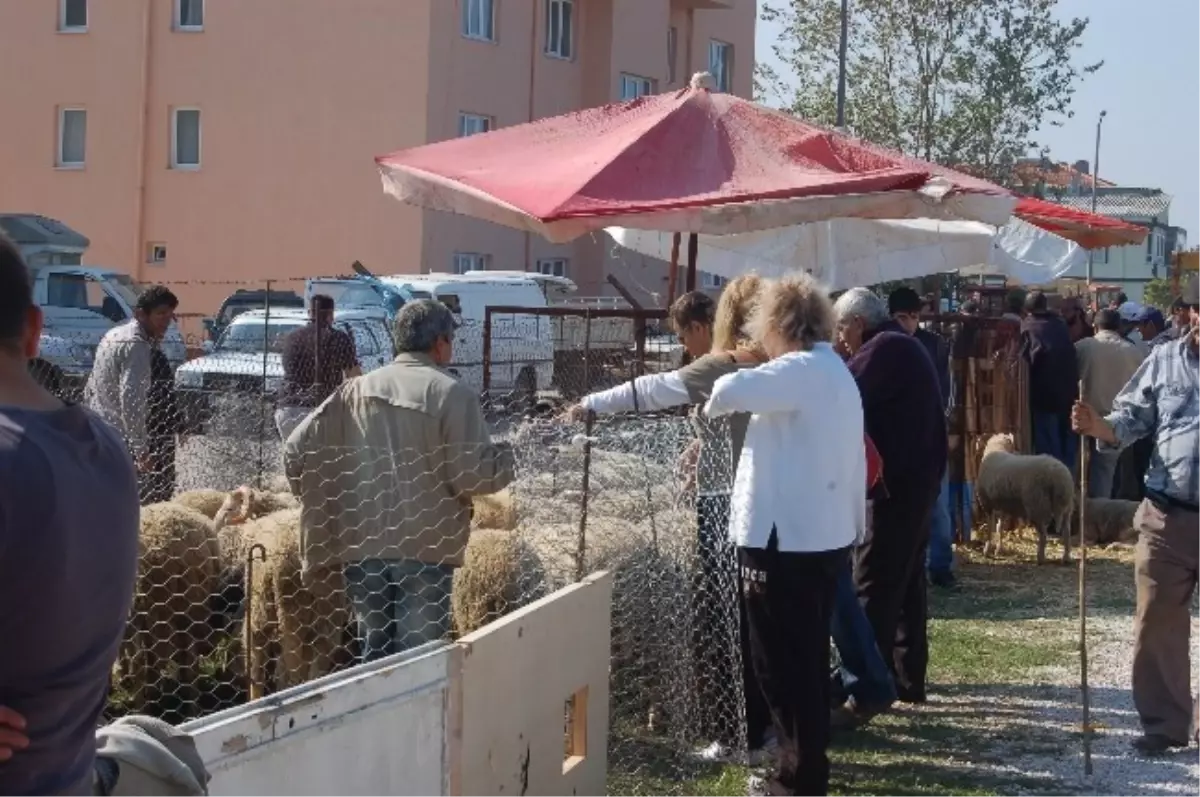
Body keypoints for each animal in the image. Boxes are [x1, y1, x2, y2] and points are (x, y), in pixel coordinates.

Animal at [974, 432, 1080, 564]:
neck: (998, 448)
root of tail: (1059, 477)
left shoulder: (986, 503)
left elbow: (990, 528)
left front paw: (987, 550)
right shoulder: (1003, 506)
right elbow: (1000, 527)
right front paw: (999, 549)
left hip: (1037, 505)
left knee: (1043, 535)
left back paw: (1040, 558)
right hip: (1067, 507)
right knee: (1066, 532)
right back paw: (1066, 557)